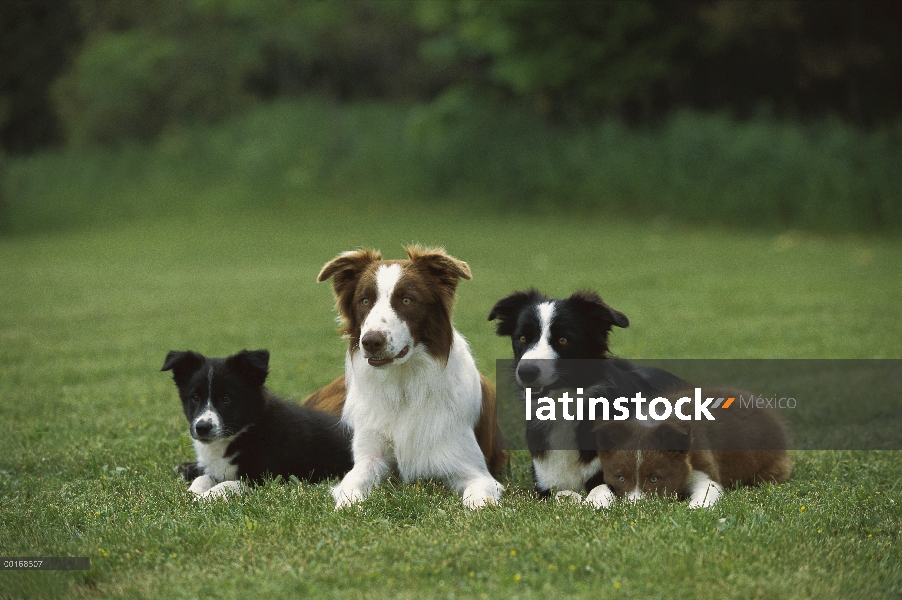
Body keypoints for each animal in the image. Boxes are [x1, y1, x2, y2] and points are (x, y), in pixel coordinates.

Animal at [162, 350, 354, 500]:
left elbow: (228, 484)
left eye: (226, 398)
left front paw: (203, 498)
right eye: (195, 397)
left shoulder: (265, 478)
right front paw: (193, 492)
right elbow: (204, 477)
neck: (243, 433)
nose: (202, 428)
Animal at [490, 288, 680, 504]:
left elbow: (601, 489)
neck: (563, 407)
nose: (526, 372)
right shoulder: (544, 485)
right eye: (522, 338)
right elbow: (561, 493)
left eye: (563, 340)